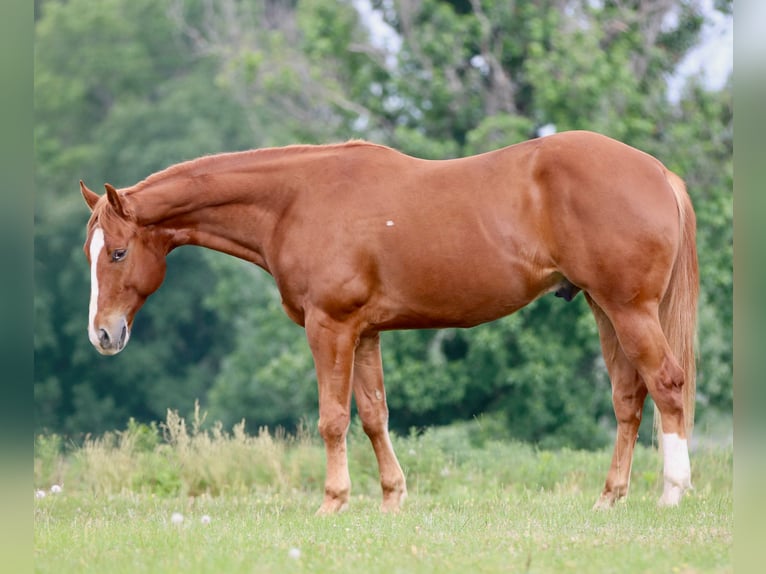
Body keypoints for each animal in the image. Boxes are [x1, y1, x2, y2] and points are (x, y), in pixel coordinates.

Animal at [80, 130, 698, 514]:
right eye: (89, 252)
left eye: (117, 253)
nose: (103, 334)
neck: (295, 201)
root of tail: (659, 173)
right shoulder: (365, 332)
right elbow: (374, 415)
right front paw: (391, 497)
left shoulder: (329, 327)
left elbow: (332, 419)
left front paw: (333, 501)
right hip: (603, 308)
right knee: (628, 398)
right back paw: (609, 498)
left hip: (629, 309)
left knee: (667, 384)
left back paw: (672, 492)